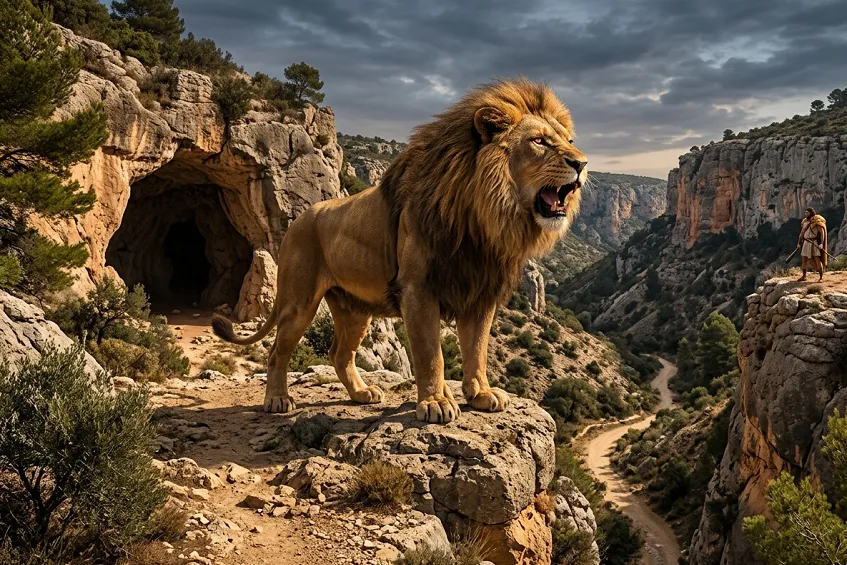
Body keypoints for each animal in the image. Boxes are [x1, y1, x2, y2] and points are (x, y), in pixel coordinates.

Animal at [212, 78, 587, 424]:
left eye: (569, 141)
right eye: (538, 141)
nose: (582, 163)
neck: (482, 219)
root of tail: (298, 220)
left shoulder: (479, 291)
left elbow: (476, 350)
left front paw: (481, 393)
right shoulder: (418, 289)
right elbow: (430, 353)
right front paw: (436, 402)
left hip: (354, 309)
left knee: (339, 354)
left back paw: (362, 393)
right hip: (298, 302)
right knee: (278, 350)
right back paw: (277, 400)